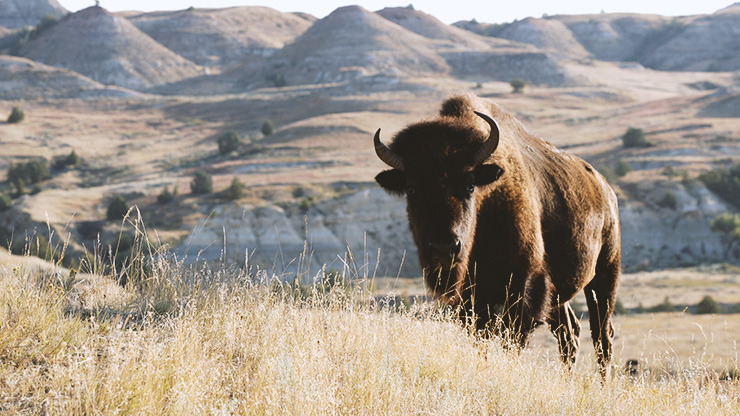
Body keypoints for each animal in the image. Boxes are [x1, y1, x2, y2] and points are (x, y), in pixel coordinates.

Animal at [372, 94, 620, 376]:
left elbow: (511, 343)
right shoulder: (473, 302)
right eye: (412, 189)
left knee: (602, 336)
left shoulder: (524, 291)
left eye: (469, 186)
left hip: (605, 275)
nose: (444, 248)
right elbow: (482, 342)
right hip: (560, 294)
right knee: (570, 334)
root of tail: (605, 189)